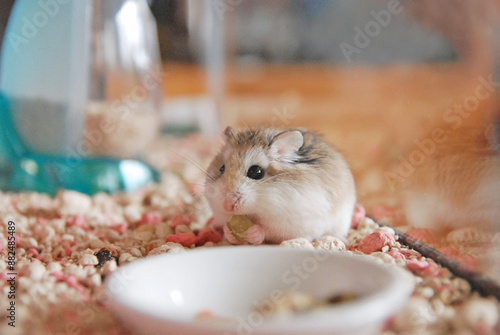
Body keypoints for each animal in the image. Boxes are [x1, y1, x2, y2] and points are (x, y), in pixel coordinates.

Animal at [205, 126, 358, 244]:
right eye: (221, 168)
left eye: (256, 172)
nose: (227, 205)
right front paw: (228, 232)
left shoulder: (290, 222)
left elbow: (267, 230)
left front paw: (254, 232)